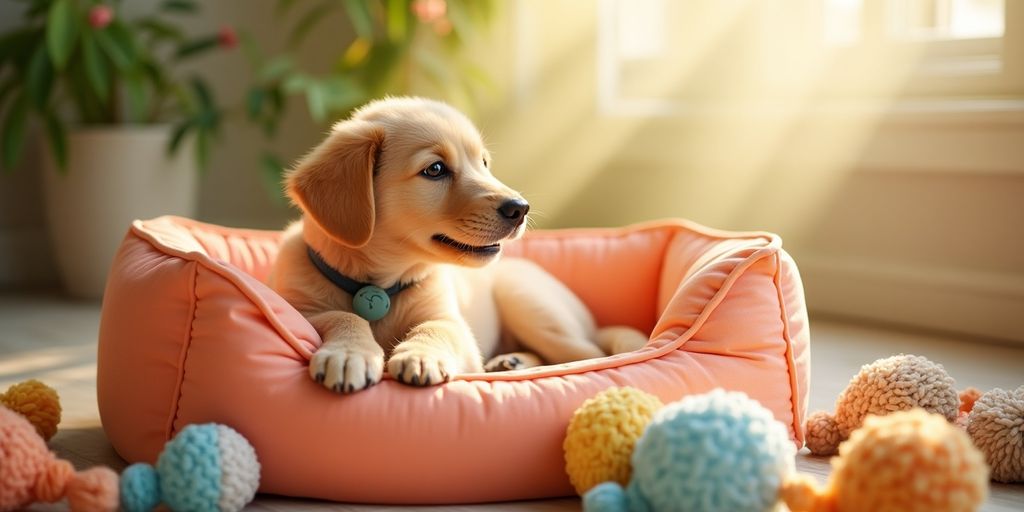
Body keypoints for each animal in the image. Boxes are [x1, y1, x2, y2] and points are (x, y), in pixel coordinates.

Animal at [268, 96, 643, 391]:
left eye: (484, 163)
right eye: (435, 169)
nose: (520, 208)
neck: (378, 285)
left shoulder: (453, 323)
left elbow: (436, 327)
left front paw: (420, 355)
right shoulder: (300, 308)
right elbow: (339, 316)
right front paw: (349, 353)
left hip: (532, 306)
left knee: (592, 356)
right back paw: (512, 361)